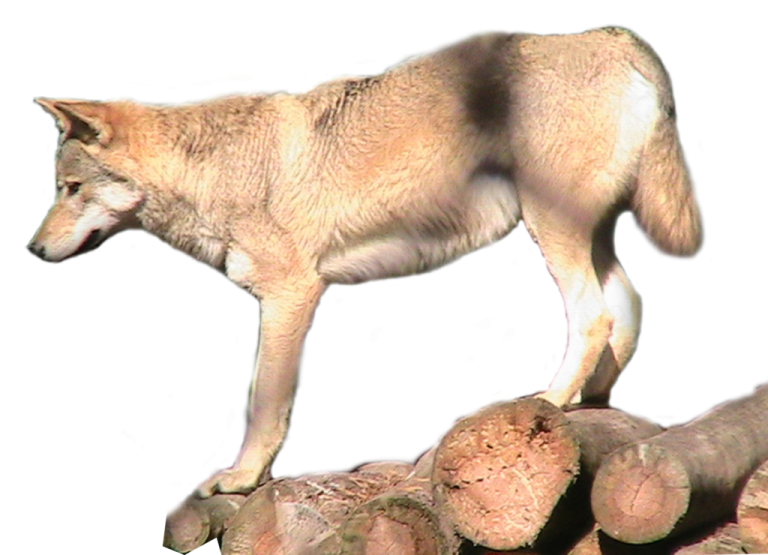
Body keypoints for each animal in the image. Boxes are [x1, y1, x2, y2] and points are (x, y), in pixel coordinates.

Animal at [27, 26, 706, 497]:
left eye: (70, 189)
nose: (31, 251)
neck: (216, 170)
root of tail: (611, 36)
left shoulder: (292, 296)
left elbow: (262, 406)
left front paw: (239, 480)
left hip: (553, 231)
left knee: (594, 317)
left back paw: (551, 403)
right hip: (586, 238)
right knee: (627, 307)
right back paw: (593, 402)